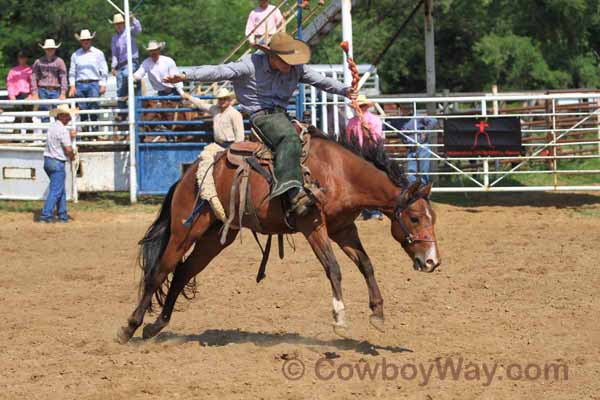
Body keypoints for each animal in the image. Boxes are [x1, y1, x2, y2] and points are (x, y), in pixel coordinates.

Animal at [115, 128, 440, 344]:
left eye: (432, 218)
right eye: (414, 218)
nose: (432, 262)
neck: (339, 174)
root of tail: (188, 174)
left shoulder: (343, 229)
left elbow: (366, 264)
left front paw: (378, 313)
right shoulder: (313, 226)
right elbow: (333, 268)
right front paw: (339, 318)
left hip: (215, 237)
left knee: (182, 272)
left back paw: (156, 326)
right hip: (185, 230)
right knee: (158, 272)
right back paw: (129, 327)